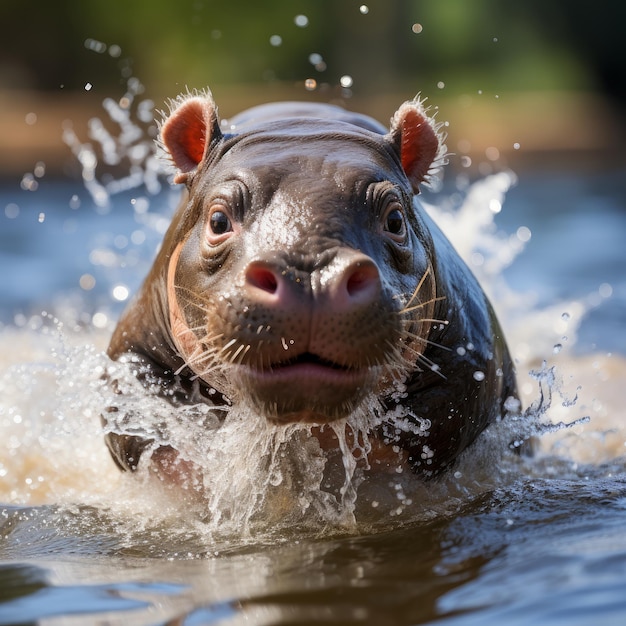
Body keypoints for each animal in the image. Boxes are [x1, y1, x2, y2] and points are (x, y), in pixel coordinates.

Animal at [103, 89, 516, 478]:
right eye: (218, 221)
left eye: (395, 219)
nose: (311, 275)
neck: (301, 126)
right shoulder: (132, 358)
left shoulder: (471, 362)